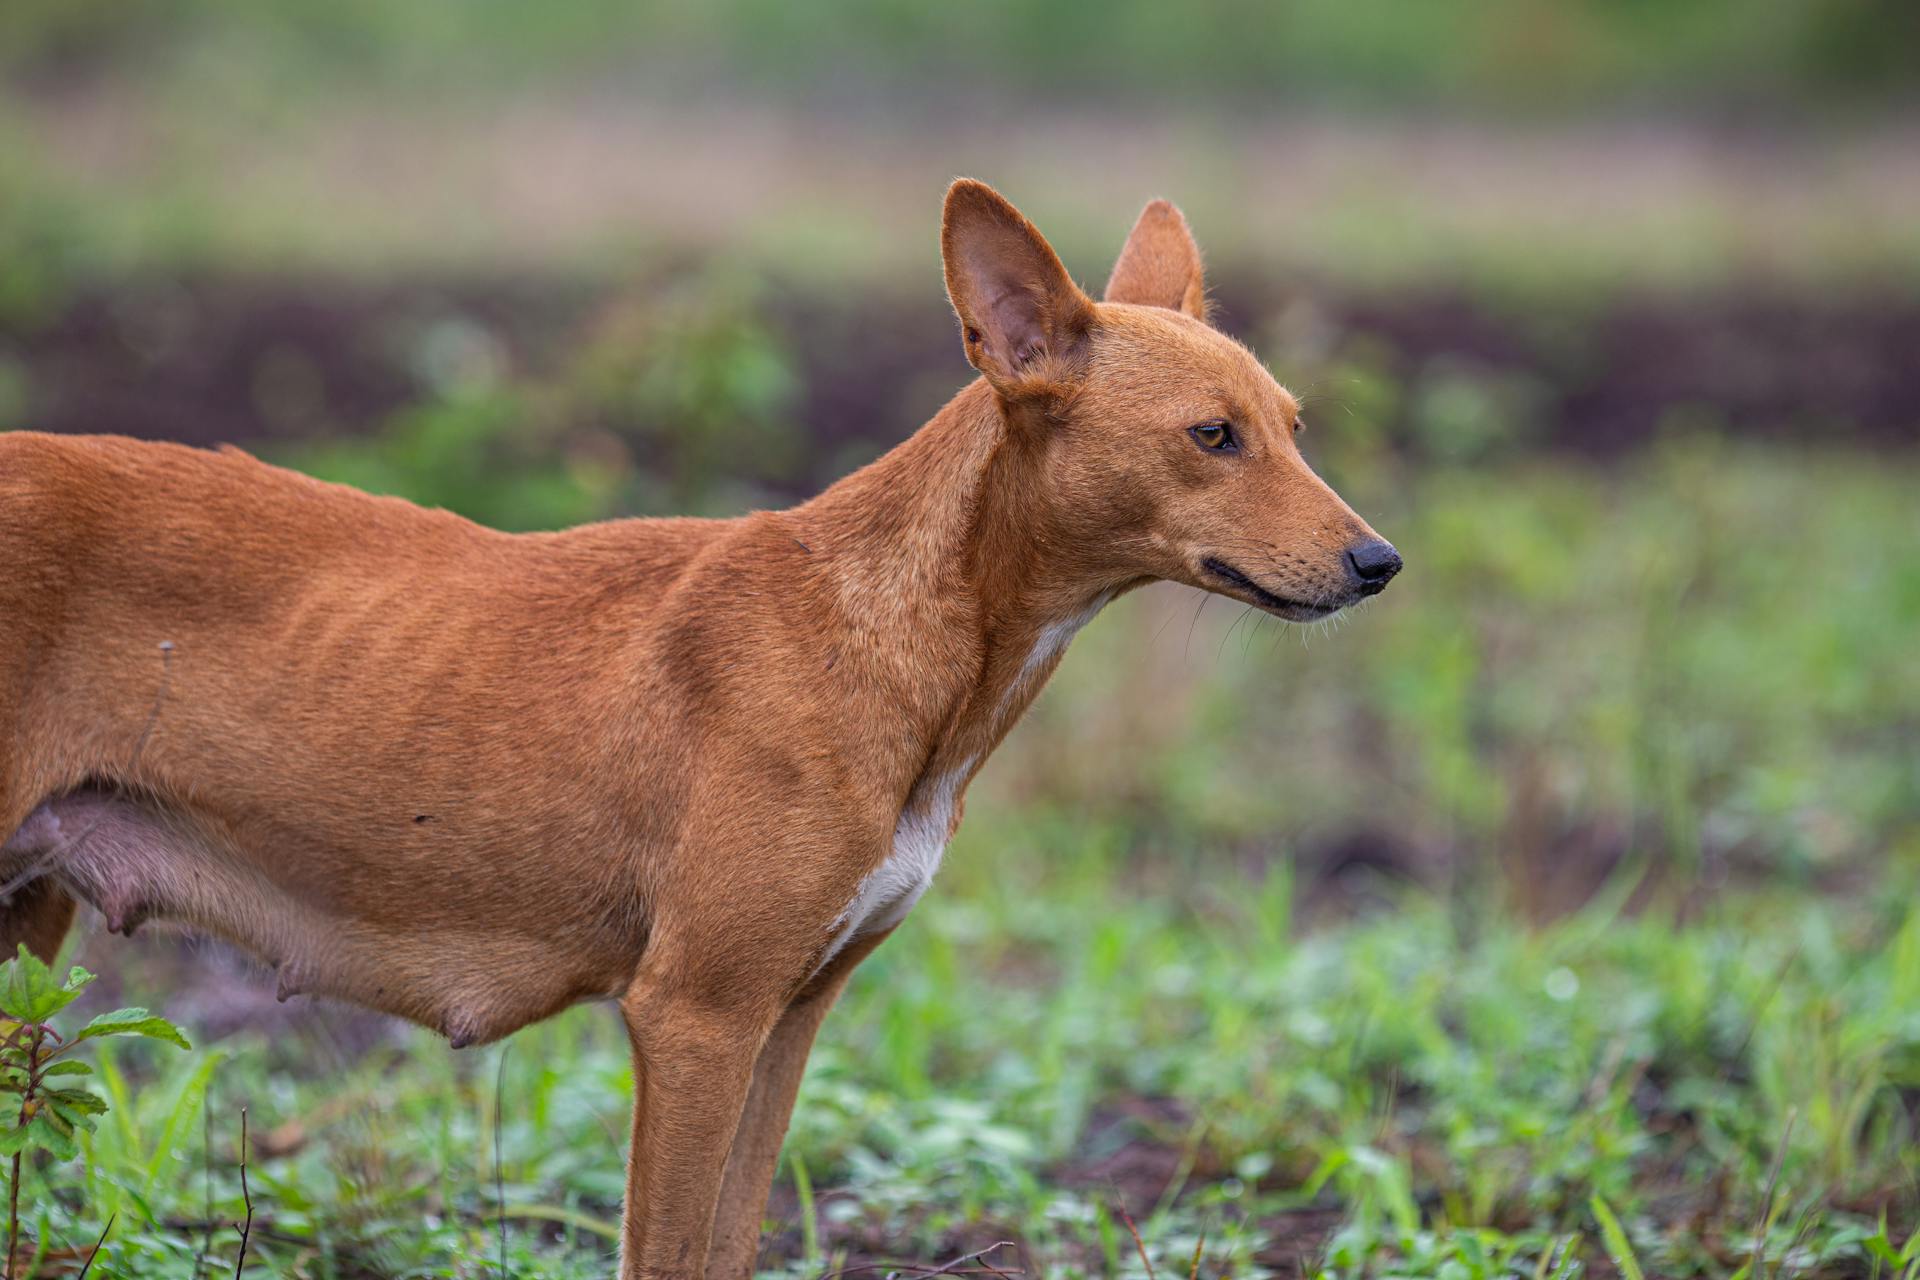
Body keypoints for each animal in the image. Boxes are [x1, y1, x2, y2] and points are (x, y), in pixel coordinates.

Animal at [7, 182, 1405, 1280]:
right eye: (1211, 437)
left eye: (1294, 425)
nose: (1379, 562)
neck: (887, 638)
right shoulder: (694, 1014)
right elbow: (667, 1247)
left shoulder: (788, 1017)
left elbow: (729, 1241)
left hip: (33, 909)